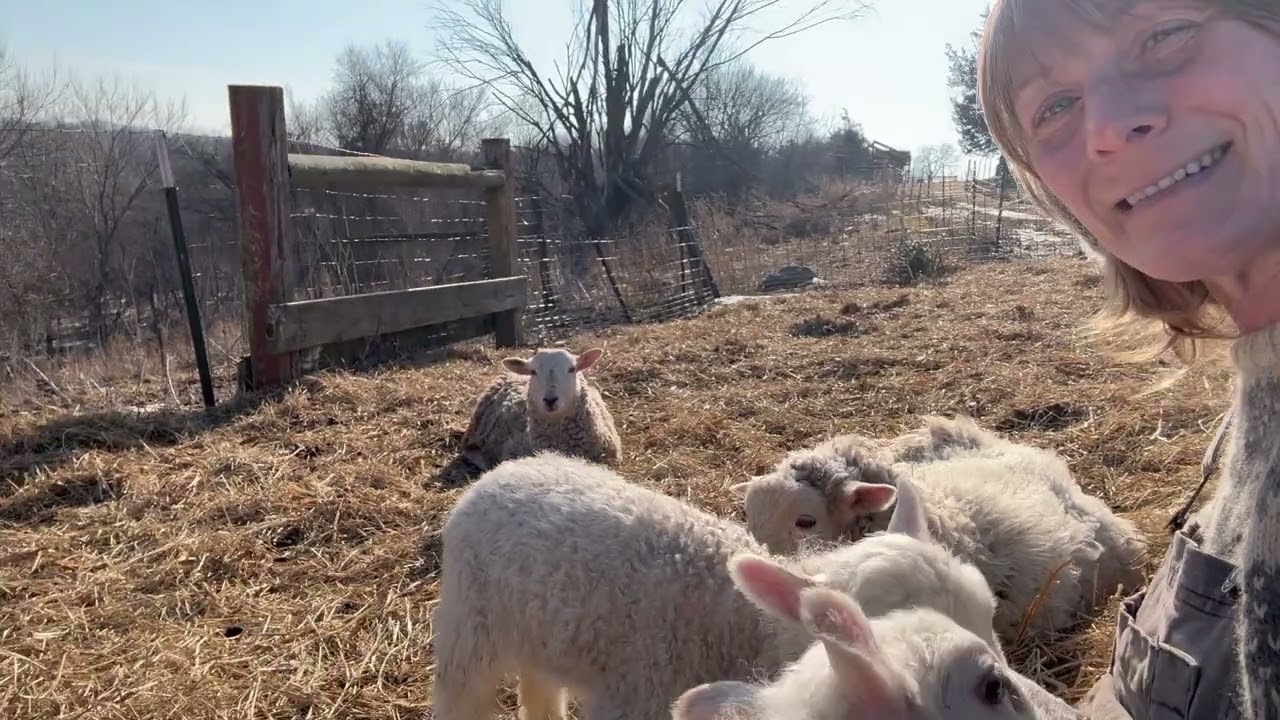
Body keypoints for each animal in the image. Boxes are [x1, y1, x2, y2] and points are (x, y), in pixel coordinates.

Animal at [429, 451, 1004, 720]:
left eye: (988, 615)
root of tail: (510, 467)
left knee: (539, 686)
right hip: (466, 627)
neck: (738, 622)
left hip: (538, 630)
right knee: (461, 693)